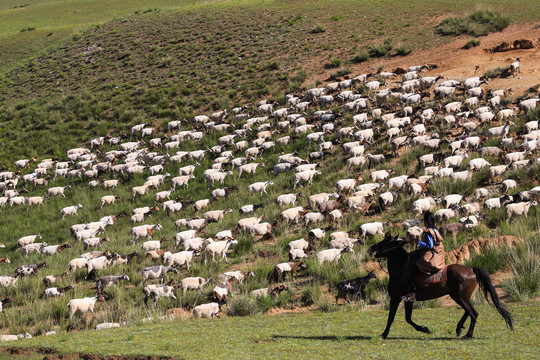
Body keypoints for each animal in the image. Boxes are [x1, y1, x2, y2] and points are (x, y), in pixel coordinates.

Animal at [370, 233, 512, 340]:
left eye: (384, 242)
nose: (372, 247)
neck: (401, 271)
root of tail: (472, 269)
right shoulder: (407, 300)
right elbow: (408, 318)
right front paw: (425, 329)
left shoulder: (395, 298)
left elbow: (391, 318)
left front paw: (383, 334)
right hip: (460, 297)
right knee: (469, 311)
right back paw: (459, 328)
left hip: (459, 297)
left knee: (473, 313)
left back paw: (467, 335)